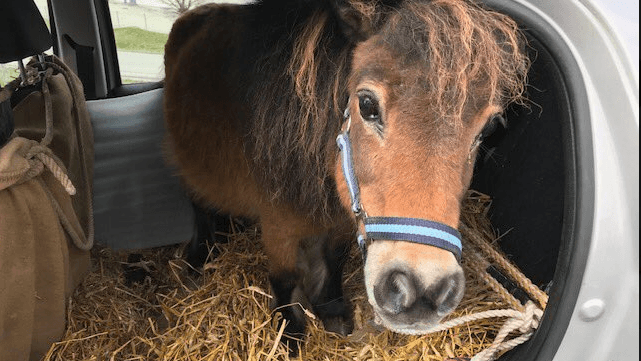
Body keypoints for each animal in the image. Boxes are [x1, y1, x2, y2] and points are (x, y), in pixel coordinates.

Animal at [162, 0, 528, 348]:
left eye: (489, 128)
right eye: (366, 104)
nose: (422, 291)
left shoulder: (341, 218)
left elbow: (332, 261)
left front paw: (332, 311)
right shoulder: (277, 224)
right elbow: (285, 278)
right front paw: (290, 334)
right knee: (199, 206)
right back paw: (197, 260)